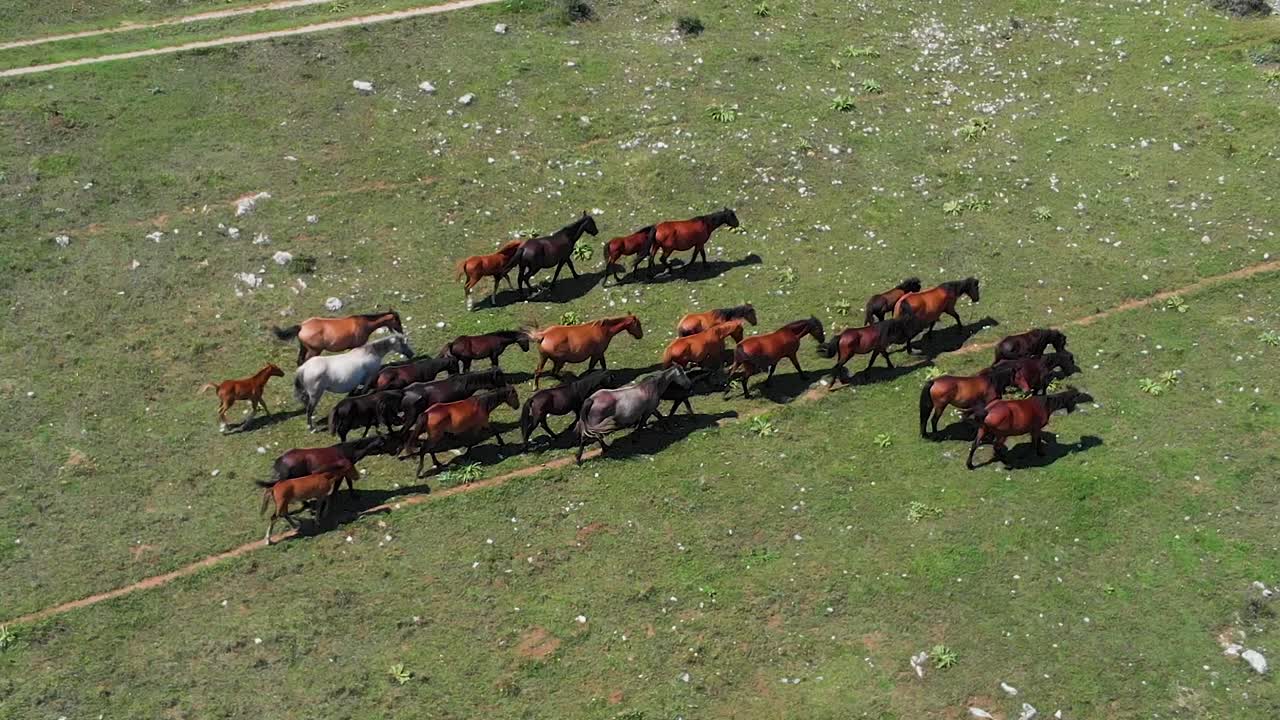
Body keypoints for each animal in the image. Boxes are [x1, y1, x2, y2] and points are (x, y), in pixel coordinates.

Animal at [271, 311, 404, 366]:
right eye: (397, 320)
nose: (401, 331)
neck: (364, 324)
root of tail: (301, 326)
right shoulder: (356, 346)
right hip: (314, 351)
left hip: (304, 348)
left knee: (299, 361)